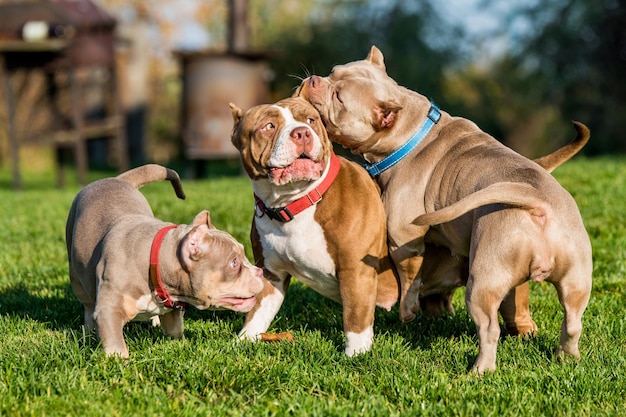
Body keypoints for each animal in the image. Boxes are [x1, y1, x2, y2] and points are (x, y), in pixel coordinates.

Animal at [66, 164, 264, 356]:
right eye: (234, 263)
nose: (260, 272)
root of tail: (115, 179)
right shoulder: (109, 310)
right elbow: (115, 342)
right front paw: (118, 360)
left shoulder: (173, 310)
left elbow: (174, 330)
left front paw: (180, 345)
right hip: (76, 275)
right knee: (88, 304)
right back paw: (89, 332)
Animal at [227, 96, 398, 354]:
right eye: (268, 126)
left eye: (310, 120)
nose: (301, 133)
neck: (297, 202)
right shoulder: (270, 273)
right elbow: (258, 311)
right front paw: (243, 340)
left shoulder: (356, 271)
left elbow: (355, 315)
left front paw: (356, 354)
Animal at [298, 47, 588, 372]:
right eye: (332, 72)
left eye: (339, 98)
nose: (313, 79)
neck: (411, 133)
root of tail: (535, 201)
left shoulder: (404, 239)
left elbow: (410, 278)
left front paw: (407, 310)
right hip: (576, 279)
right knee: (572, 322)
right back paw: (567, 358)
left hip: (485, 280)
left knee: (489, 329)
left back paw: (480, 371)